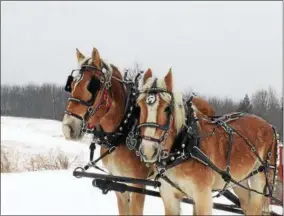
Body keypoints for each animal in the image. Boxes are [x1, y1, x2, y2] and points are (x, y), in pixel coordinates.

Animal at [136, 69, 278, 214]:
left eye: (167, 108)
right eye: (139, 107)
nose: (148, 151)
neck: (185, 147)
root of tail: (269, 126)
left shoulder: (202, 197)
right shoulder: (170, 197)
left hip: (259, 180)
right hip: (239, 181)